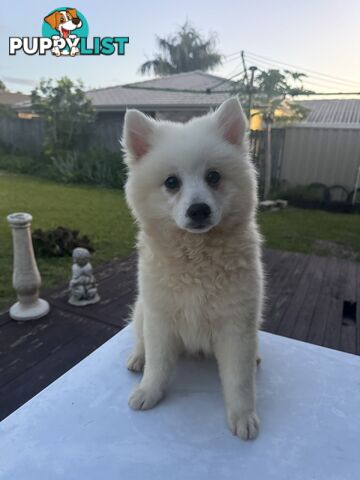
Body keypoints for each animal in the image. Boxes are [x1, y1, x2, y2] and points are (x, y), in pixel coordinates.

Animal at [122, 97, 262, 438]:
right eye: (172, 182)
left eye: (214, 176)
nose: (199, 209)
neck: (196, 256)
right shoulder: (160, 317)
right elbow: (158, 364)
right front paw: (148, 392)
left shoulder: (237, 325)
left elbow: (239, 380)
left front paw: (243, 416)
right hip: (142, 310)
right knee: (141, 339)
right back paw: (137, 358)